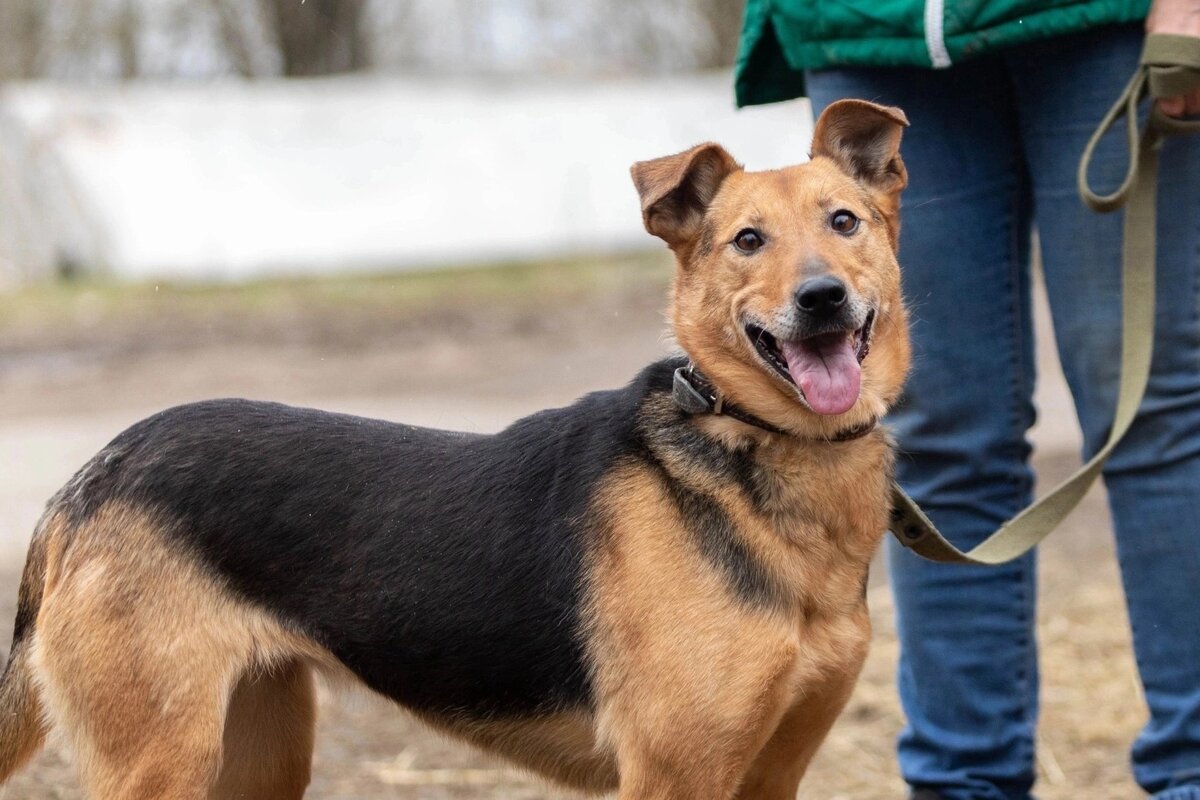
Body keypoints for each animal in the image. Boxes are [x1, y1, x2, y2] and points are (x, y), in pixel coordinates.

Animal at [0, 100, 907, 800]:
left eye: (845, 222)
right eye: (747, 241)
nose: (821, 298)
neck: (753, 442)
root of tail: (87, 480)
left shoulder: (772, 771)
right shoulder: (674, 774)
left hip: (260, 753)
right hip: (163, 760)